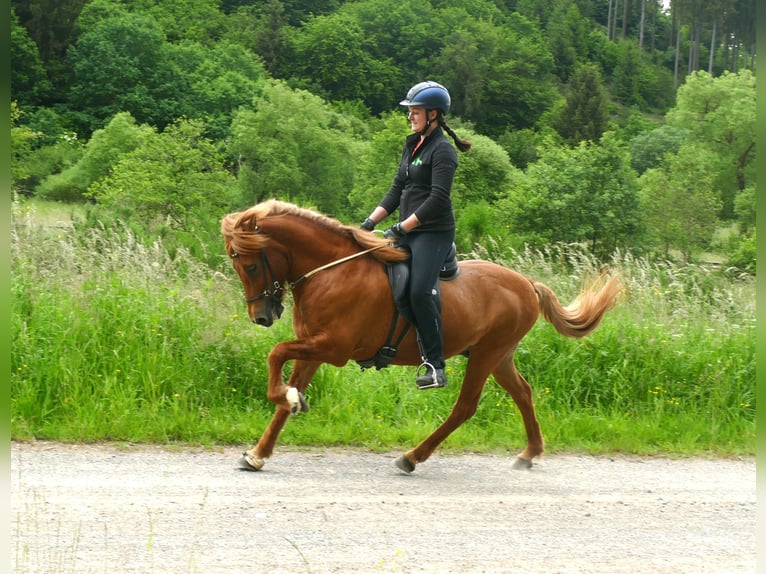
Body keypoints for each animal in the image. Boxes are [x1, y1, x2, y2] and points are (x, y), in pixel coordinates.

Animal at [220, 200, 624, 474]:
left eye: (250, 265)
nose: (261, 317)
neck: (331, 272)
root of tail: (526, 282)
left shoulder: (333, 347)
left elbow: (275, 353)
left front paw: (287, 399)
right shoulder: (314, 348)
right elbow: (286, 385)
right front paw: (259, 451)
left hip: (487, 354)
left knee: (465, 407)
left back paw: (412, 457)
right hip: (499, 355)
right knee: (523, 393)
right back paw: (529, 453)